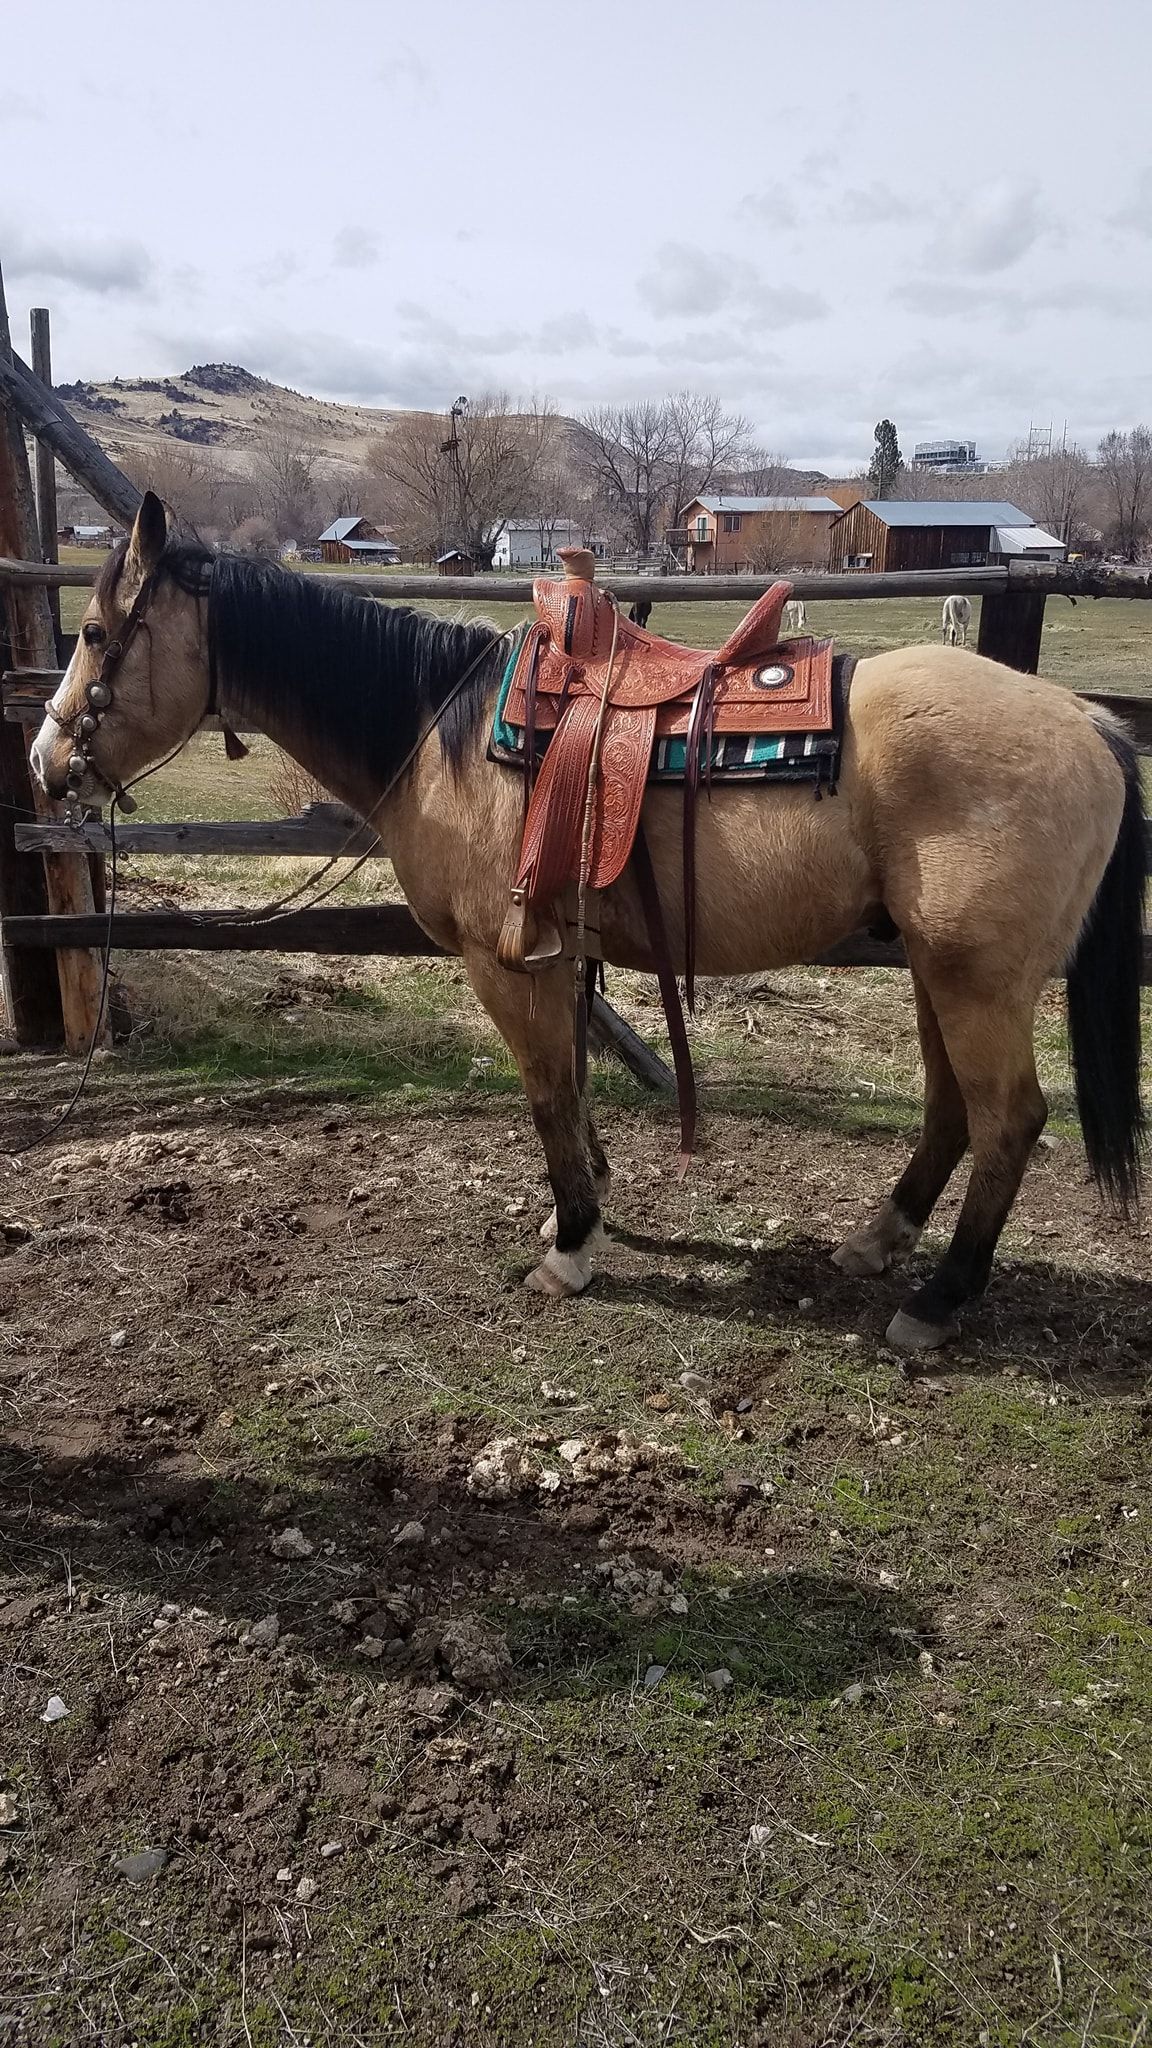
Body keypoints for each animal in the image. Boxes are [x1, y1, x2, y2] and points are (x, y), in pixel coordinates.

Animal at [32, 494, 1147, 1354]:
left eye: (92, 635)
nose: (45, 763)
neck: (440, 731)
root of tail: (1090, 722)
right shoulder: (559, 953)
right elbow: (569, 1081)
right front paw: (585, 1202)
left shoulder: (503, 961)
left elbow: (543, 1091)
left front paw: (570, 1246)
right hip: (932, 967)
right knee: (954, 1111)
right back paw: (880, 1239)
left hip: (977, 977)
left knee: (1008, 1121)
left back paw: (938, 1300)